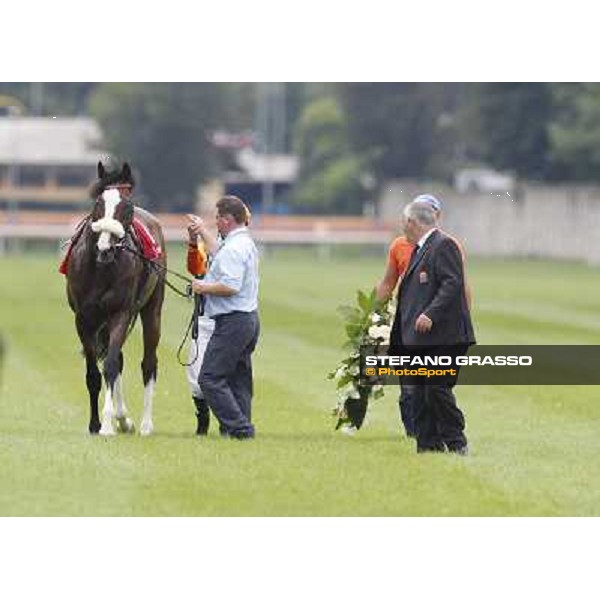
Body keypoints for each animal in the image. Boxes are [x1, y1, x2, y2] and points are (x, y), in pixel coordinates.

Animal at [66, 163, 166, 436]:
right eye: (98, 203)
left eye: (127, 206)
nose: (105, 248)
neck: (100, 268)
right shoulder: (84, 319)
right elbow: (94, 373)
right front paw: (96, 424)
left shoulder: (120, 313)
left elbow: (109, 366)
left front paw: (108, 425)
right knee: (118, 358)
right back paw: (125, 419)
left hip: (151, 310)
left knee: (148, 363)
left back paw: (145, 424)